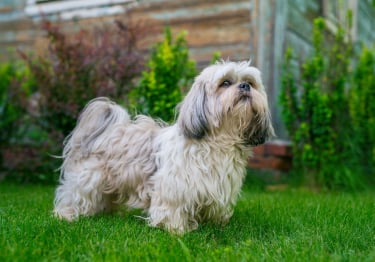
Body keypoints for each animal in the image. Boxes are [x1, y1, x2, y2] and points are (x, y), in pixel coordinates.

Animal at [53, 60, 274, 234]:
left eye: (251, 82)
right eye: (225, 83)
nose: (245, 86)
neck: (218, 142)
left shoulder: (218, 186)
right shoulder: (174, 187)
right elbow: (172, 209)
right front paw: (176, 230)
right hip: (89, 179)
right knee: (74, 196)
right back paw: (66, 215)